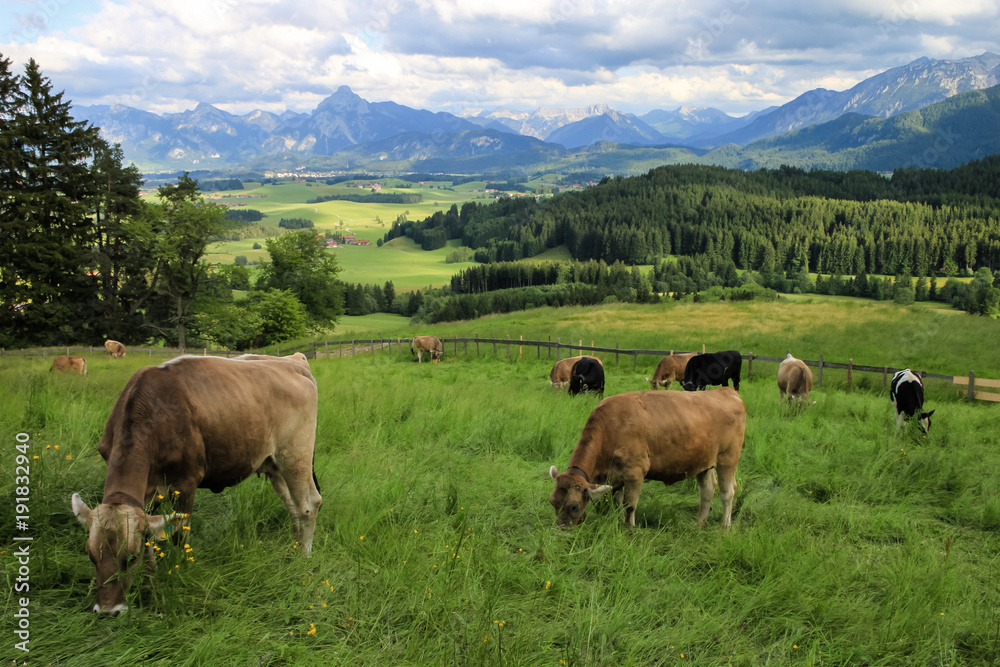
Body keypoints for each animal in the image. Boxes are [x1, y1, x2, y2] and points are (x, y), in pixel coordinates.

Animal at [71, 354, 320, 616]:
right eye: (90, 555)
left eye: (130, 557)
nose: (108, 610)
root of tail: (292, 361)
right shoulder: (147, 495)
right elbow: (149, 538)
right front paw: (151, 584)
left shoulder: (185, 483)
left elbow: (179, 536)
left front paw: (177, 575)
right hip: (274, 464)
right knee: (291, 506)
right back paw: (294, 546)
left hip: (296, 455)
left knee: (308, 505)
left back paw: (304, 557)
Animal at [548, 388, 752, 528]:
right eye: (552, 502)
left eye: (574, 506)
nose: (560, 529)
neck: (611, 428)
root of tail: (726, 391)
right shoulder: (615, 476)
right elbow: (617, 502)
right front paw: (617, 522)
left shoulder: (635, 473)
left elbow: (629, 505)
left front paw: (629, 528)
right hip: (704, 462)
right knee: (708, 490)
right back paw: (699, 523)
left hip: (728, 458)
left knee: (728, 492)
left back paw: (725, 526)